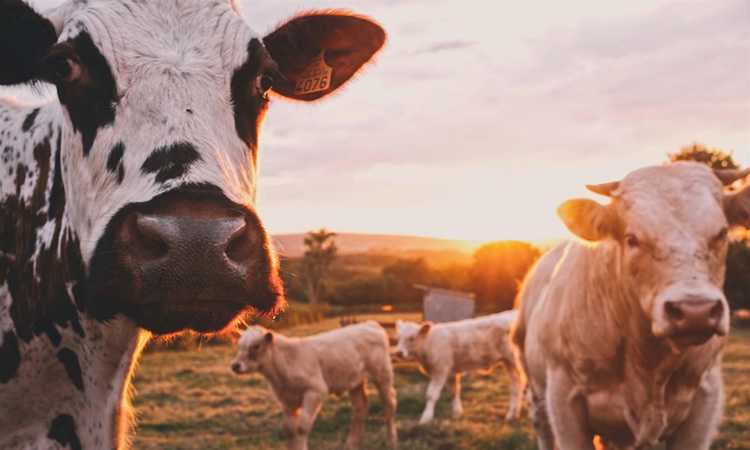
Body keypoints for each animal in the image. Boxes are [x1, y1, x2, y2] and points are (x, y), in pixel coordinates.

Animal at [231, 322, 400, 450]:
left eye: (256, 346)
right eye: (238, 345)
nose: (235, 365)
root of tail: (370, 324)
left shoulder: (315, 390)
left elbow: (302, 426)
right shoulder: (287, 399)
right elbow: (289, 429)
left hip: (383, 374)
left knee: (388, 403)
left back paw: (391, 439)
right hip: (355, 381)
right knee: (360, 406)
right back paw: (351, 443)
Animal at [394, 312, 524, 424]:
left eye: (412, 338)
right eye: (398, 337)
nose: (399, 353)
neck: (429, 343)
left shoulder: (440, 370)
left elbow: (431, 394)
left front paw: (426, 418)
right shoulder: (451, 373)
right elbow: (454, 392)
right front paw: (457, 414)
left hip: (515, 360)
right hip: (508, 362)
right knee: (516, 385)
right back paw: (512, 414)